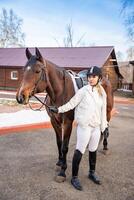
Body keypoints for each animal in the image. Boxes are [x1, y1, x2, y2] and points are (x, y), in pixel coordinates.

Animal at [16, 47, 113, 182]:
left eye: (37, 71)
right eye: (24, 70)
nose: (20, 97)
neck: (60, 92)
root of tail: (105, 80)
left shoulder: (67, 123)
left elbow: (65, 146)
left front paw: (63, 171)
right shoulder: (54, 121)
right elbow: (59, 142)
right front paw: (60, 162)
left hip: (106, 112)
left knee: (105, 129)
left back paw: (105, 147)